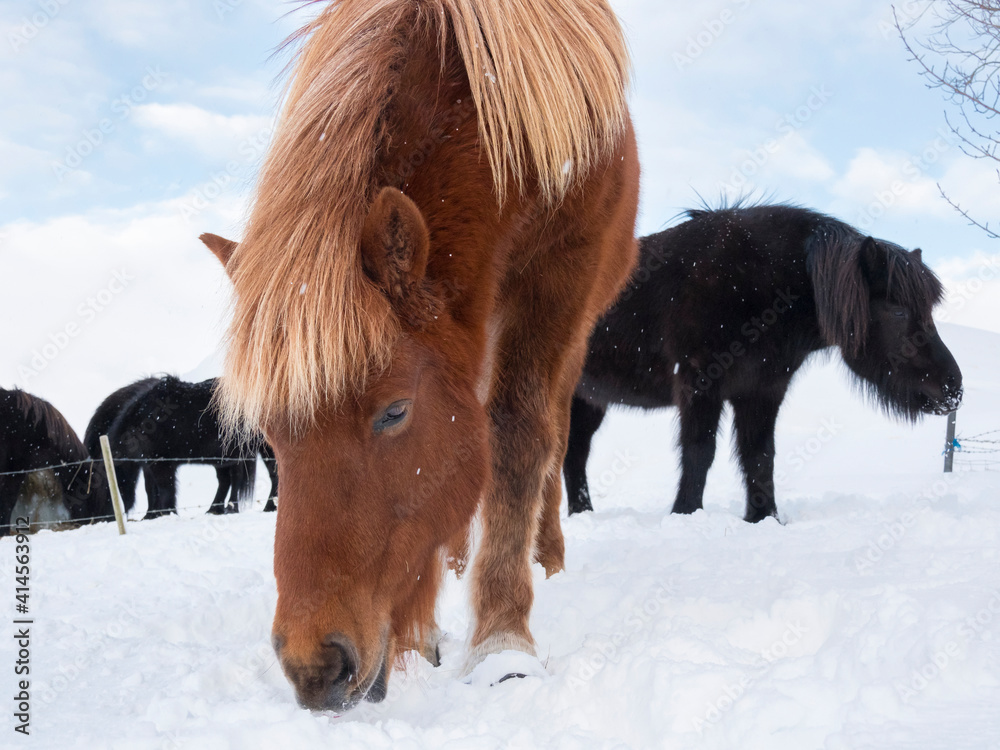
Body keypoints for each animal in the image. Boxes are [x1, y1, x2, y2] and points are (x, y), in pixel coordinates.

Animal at [88, 377, 279, 516]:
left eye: (102, 488)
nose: (102, 518)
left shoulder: (161, 464)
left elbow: (165, 489)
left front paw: (167, 513)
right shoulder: (152, 465)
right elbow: (153, 490)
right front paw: (152, 515)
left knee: (262, 476)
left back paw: (258, 507)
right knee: (230, 480)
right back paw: (216, 509)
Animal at [200, 0, 638, 711]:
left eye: (394, 411)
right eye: (269, 434)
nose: (314, 668)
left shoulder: (558, 278)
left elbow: (517, 440)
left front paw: (503, 643)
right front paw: (433, 623)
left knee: (550, 431)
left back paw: (545, 556)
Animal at [563, 204, 963, 523]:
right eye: (898, 311)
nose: (953, 388)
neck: (757, 286)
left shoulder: (761, 391)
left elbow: (759, 456)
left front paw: (763, 518)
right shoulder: (700, 384)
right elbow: (699, 451)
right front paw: (686, 514)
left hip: (588, 400)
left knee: (575, 456)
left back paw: (583, 515)